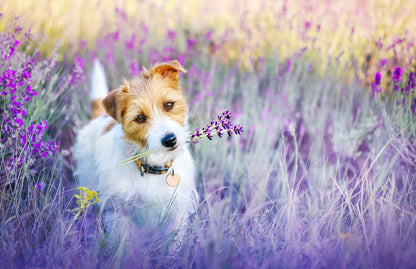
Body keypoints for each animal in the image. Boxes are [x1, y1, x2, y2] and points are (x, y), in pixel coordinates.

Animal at [73, 59, 198, 237]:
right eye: (140, 118)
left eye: (168, 105)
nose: (170, 140)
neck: (153, 166)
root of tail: (100, 116)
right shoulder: (118, 211)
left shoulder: (177, 210)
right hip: (87, 182)